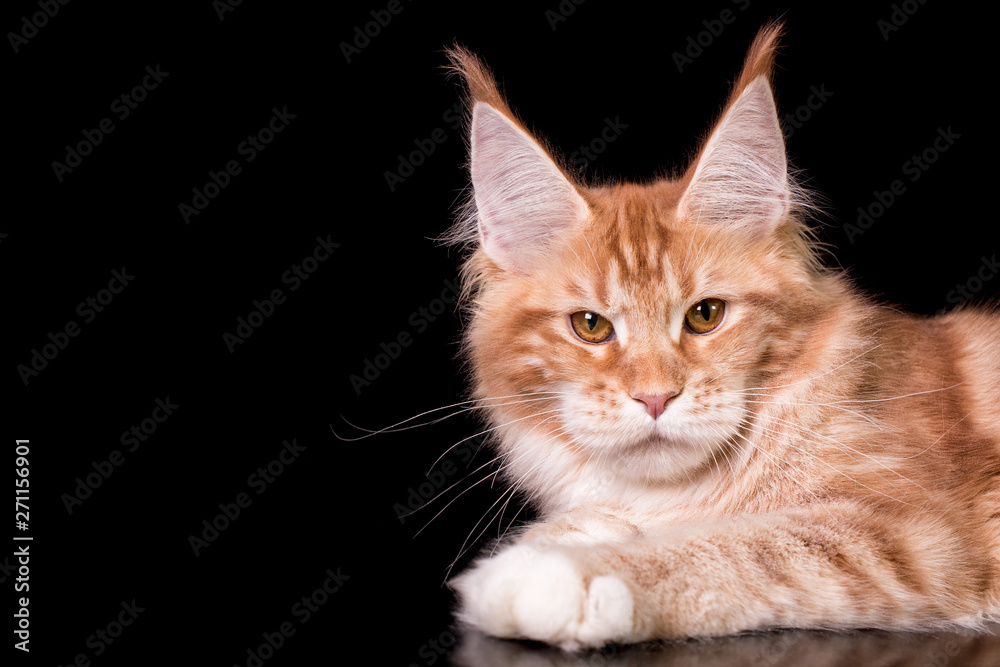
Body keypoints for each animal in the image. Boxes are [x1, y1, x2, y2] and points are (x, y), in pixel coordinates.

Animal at [444, 23, 1000, 648]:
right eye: (590, 326)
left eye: (706, 315)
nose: (655, 397)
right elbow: (596, 519)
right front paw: (564, 538)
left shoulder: (919, 531)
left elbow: (739, 545)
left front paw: (557, 576)